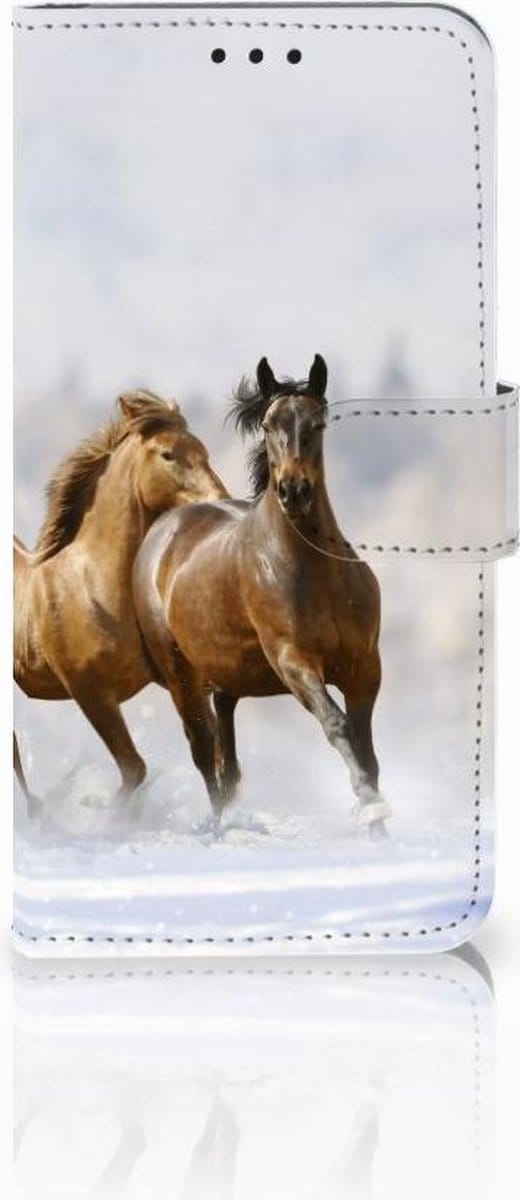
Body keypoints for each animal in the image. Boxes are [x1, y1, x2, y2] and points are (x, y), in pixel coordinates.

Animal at [14, 389, 228, 806]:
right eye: (167, 454)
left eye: (203, 449)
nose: (220, 499)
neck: (93, 586)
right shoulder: (90, 692)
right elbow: (134, 768)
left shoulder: (177, 678)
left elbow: (208, 751)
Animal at [133, 356, 391, 832]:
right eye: (269, 424)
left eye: (317, 423)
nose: (293, 490)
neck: (317, 575)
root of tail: (163, 530)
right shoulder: (294, 662)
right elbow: (337, 726)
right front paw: (368, 805)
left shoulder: (365, 666)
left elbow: (366, 749)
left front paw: (378, 822)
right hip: (181, 677)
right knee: (204, 752)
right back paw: (216, 827)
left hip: (226, 676)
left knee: (225, 756)